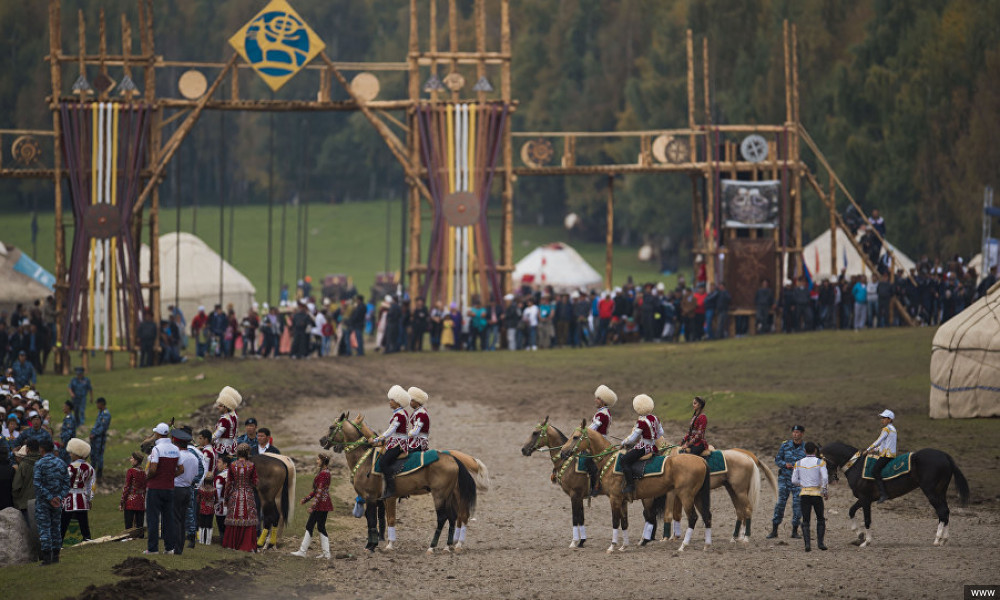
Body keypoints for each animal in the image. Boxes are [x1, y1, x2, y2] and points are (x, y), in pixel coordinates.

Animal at [141, 428, 296, 548]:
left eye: (158, 434)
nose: (143, 445)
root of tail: (282, 462)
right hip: (276, 497)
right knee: (278, 517)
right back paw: (270, 543)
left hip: (267, 496)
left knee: (272, 517)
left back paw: (262, 543)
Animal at [320, 412, 476, 552]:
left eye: (331, 427)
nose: (322, 440)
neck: (366, 460)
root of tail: (453, 459)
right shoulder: (384, 499)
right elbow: (381, 519)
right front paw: (380, 544)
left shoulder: (373, 497)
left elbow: (376, 520)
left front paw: (374, 545)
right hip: (448, 496)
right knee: (453, 517)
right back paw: (448, 546)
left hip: (440, 495)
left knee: (444, 517)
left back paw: (433, 547)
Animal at [520, 418, 668, 548]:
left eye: (535, 433)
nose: (523, 449)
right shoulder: (579, 496)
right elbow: (581, 518)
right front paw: (581, 541)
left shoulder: (575, 495)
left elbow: (575, 517)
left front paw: (574, 542)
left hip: (647, 498)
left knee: (650, 517)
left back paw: (644, 541)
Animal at [560, 426, 716, 552]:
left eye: (575, 437)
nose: (563, 452)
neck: (609, 461)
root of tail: (701, 460)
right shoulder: (622, 501)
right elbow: (624, 522)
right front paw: (624, 546)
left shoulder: (614, 499)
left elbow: (615, 521)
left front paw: (612, 546)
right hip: (697, 496)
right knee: (707, 516)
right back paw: (707, 545)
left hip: (686, 496)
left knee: (693, 517)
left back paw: (683, 546)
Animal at [820, 438, 968, 548]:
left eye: (822, 460)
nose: (831, 479)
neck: (857, 465)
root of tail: (945, 456)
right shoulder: (864, 499)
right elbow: (851, 511)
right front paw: (859, 535)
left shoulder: (865, 499)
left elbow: (867, 519)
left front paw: (866, 541)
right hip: (940, 491)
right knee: (946, 512)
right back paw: (944, 539)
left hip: (930, 491)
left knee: (942, 512)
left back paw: (937, 539)